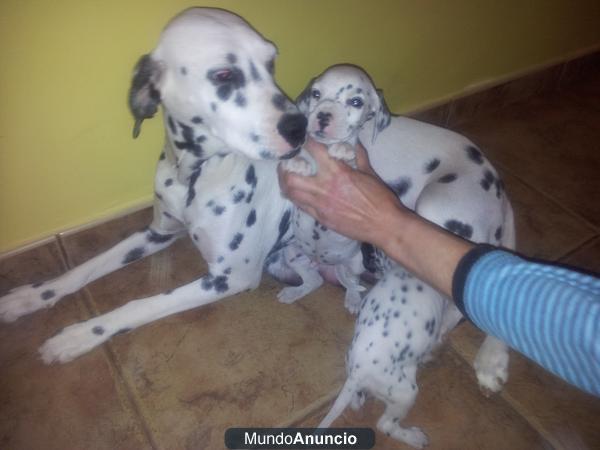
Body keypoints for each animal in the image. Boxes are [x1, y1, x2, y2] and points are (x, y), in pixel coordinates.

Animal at [0, 7, 308, 362]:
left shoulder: (230, 278)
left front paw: (80, 335)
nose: (300, 127)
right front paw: (32, 296)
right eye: (224, 75)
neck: (192, 178)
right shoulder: (155, 233)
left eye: (271, 63)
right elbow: (84, 269)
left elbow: (139, 305)